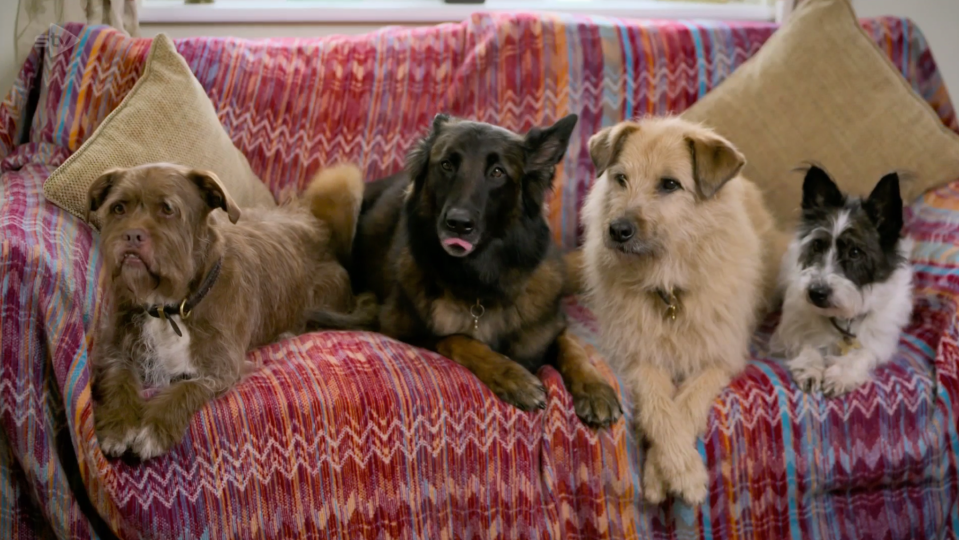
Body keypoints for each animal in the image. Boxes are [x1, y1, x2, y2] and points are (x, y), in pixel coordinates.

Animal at [89, 162, 364, 458]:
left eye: (167, 209)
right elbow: (119, 379)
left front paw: (154, 429)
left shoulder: (220, 368)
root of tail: (322, 231)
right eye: (118, 208)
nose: (131, 235)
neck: (171, 307)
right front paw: (119, 426)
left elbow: (184, 389)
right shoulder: (114, 351)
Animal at [576, 116, 788, 504]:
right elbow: (659, 405)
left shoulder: (718, 358)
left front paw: (678, 473)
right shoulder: (638, 356)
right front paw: (670, 471)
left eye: (669, 184)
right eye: (620, 178)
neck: (668, 286)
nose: (616, 230)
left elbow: (687, 404)